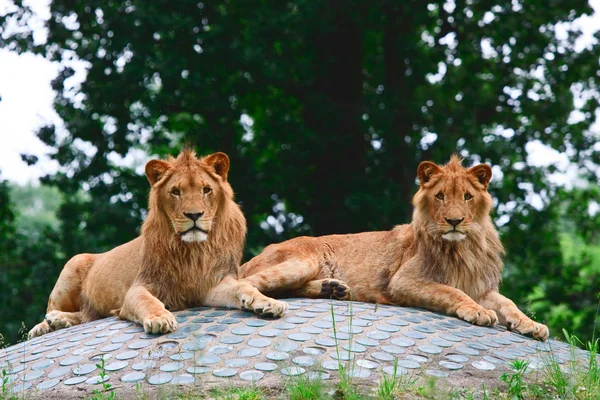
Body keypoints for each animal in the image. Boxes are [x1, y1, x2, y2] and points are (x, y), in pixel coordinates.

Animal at [29, 148, 288, 340]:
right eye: (175, 191)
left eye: (206, 189)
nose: (194, 215)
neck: (193, 250)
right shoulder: (139, 287)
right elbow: (147, 300)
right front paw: (160, 318)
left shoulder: (210, 286)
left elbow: (244, 287)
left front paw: (268, 302)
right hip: (72, 266)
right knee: (51, 311)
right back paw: (45, 325)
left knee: (84, 316)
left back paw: (60, 321)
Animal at [243, 156, 548, 340]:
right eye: (440, 196)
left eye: (467, 197)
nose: (454, 221)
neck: (464, 247)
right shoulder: (404, 281)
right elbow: (452, 291)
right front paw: (478, 311)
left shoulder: (481, 286)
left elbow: (508, 303)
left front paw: (531, 325)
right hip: (301, 262)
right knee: (246, 282)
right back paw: (265, 305)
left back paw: (333, 289)